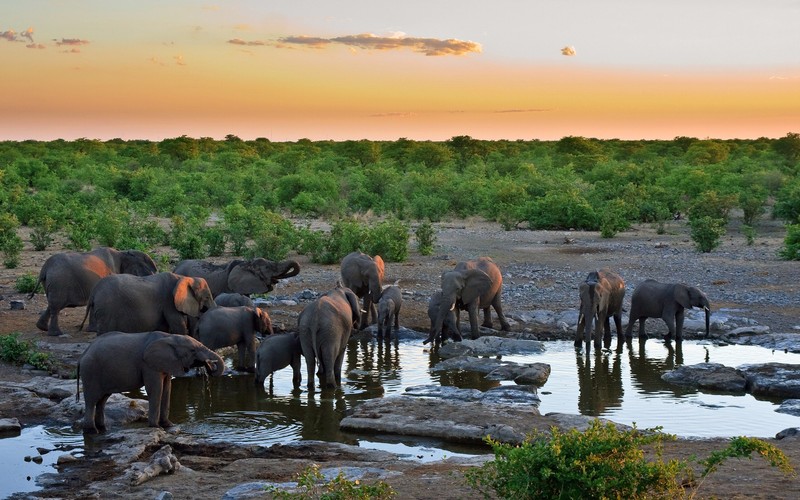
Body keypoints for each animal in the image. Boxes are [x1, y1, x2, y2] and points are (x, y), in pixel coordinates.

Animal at [76, 330, 225, 432]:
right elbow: (156, 389)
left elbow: (167, 389)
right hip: (90, 371)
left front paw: (169, 425)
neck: (169, 337)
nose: (209, 367)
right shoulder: (148, 365)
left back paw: (103, 429)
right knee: (92, 400)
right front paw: (155, 427)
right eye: (193, 350)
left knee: (102, 400)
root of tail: (83, 354)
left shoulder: (166, 363)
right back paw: (92, 431)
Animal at [83, 272, 217, 334]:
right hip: (106, 310)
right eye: (207, 297)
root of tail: (94, 291)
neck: (183, 277)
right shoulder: (169, 302)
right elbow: (178, 326)